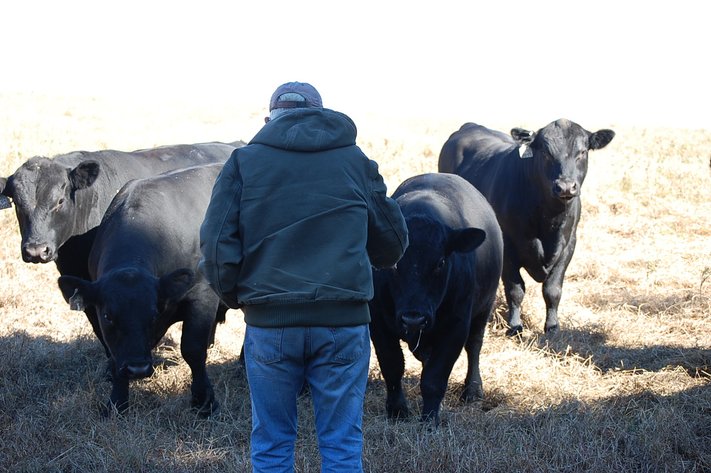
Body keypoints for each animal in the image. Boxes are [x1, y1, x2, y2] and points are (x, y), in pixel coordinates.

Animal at [57, 164, 227, 414]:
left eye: (154, 313)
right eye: (108, 316)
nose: (137, 369)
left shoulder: (202, 295)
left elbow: (193, 349)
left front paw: (204, 401)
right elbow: (114, 356)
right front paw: (117, 403)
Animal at [370, 171, 504, 422]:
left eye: (440, 262)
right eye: (394, 264)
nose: (413, 318)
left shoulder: (456, 327)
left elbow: (434, 378)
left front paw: (430, 418)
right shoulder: (378, 324)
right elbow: (392, 366)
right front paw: (397, 410)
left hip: (484, 308)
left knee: (474, 346)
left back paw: (472, 389)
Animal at [436, 120, 616, 334]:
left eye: (581, 152)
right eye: (546, 152)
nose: (565, 187)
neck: (549, 219)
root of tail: (471, 126)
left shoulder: (569, 245)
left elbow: (553, 290)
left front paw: (552, 327)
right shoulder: (507, 247)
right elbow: (516, 290)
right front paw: (514, 326)